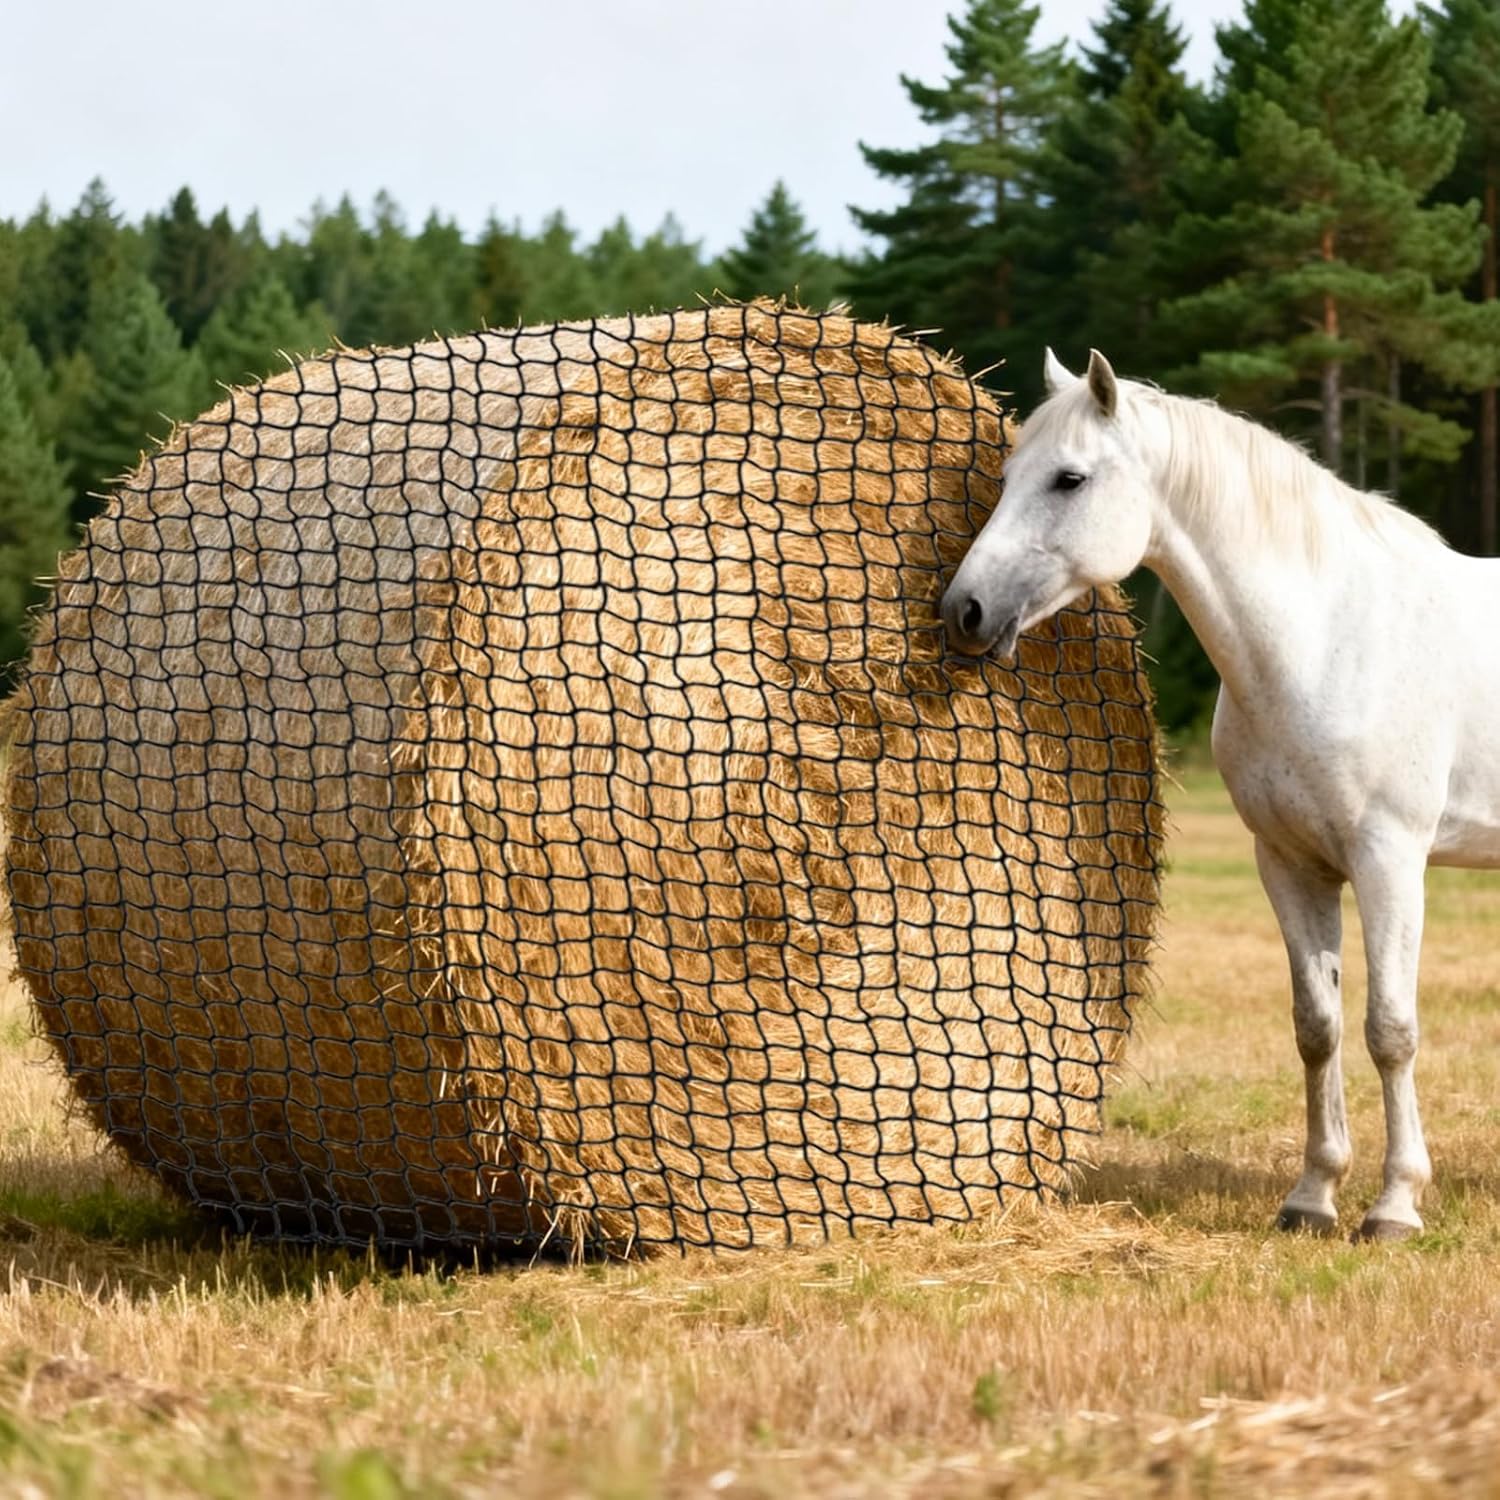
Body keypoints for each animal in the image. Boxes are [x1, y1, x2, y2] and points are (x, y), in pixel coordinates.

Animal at [941, 348, 1500, 1242]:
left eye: (1069, 478)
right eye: (1006, 475)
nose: (964, 610)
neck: (1328, 636)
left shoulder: (1390, 860)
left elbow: (1390, 1030)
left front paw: (1395, 1206)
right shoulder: (1289, 863)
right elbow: (1318, 1028)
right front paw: (1312, 1197)